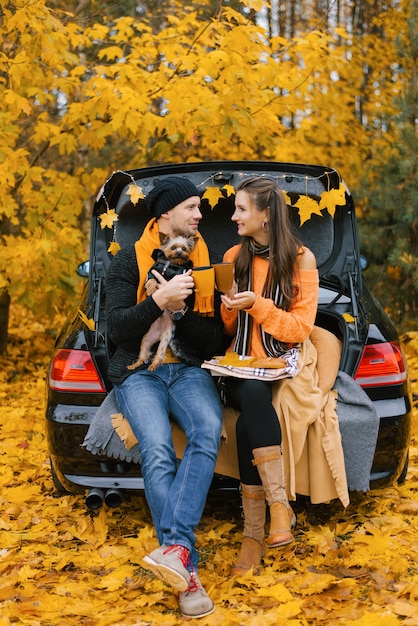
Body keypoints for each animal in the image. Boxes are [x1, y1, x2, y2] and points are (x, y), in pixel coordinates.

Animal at [127, 234, 198, 370]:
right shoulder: (153, 272)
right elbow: (152, 280)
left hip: (166, 337)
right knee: (143, 355)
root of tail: (159, 334)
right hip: (146, 339)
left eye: (184, 248)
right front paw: (150, 289)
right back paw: (134, 365)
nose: (179, 252)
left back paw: (154, 364)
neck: (172, 264)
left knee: (160, 353)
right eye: (173, 248)